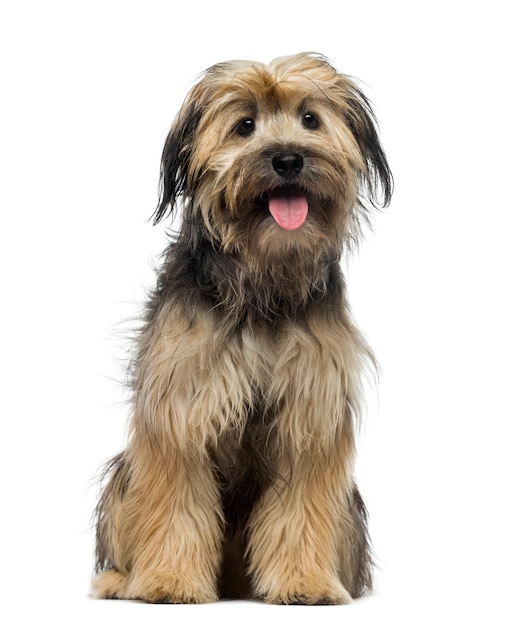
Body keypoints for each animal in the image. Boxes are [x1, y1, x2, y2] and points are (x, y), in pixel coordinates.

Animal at [93, 51, 392, 604]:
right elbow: (177, 501)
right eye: (245, 125)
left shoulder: (309, 414)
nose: (288, 159)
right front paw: (169, 581)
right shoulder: (181, 410)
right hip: (125, 475)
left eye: (310, 119)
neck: (262, 283)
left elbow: (301, 508)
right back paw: (122, 578)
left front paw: (305, 582)